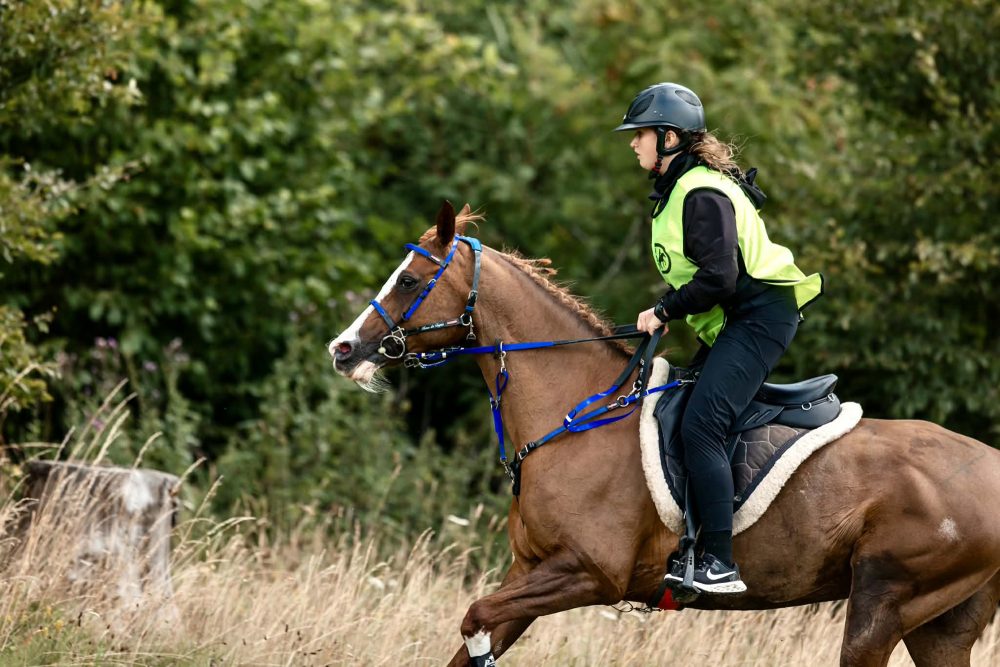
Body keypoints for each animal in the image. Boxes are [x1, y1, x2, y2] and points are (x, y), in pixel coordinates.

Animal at [329, 201, 1000, 667]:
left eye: (408, 281)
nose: (343, 349)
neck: (575, 413)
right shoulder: (530, 573)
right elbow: (474, 634)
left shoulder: (587, 573)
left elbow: (473, 619)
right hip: (938, 628)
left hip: (883, 604)